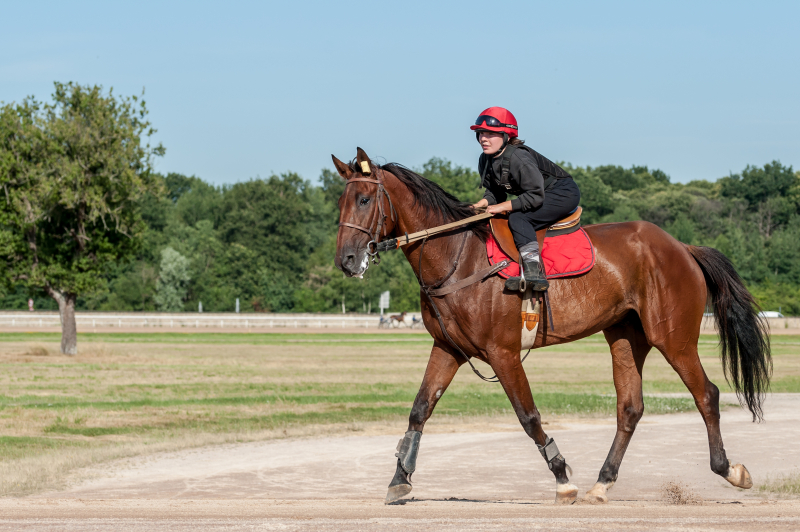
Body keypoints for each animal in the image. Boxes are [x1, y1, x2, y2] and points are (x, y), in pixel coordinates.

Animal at [330, 149, 768, 502]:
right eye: (341, 201)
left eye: (365, 199)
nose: (347, 260)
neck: (457, 256)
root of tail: (683, 248)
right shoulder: (449, 348)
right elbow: (419, 411)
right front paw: (399, 479)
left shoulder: (503, 353)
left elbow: (529, 417)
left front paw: (562, 477)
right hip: (626, 336)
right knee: (630, 408)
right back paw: (602, 483)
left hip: (673, 337)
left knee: (707, 395)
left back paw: (730, 470)